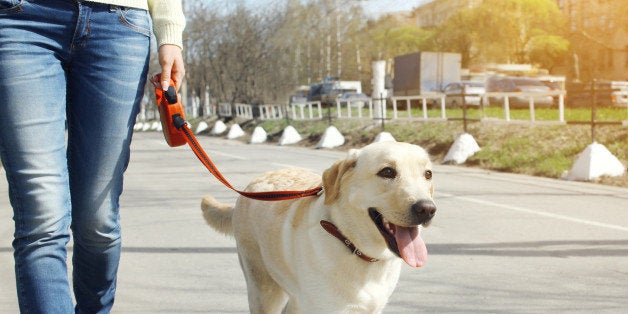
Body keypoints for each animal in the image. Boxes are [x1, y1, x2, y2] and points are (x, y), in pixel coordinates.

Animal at [202, 141, 436, 312]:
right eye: (387, 172)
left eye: (428, 174)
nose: (427, 209)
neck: (353, 246)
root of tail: (250, 186)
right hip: (263, 289)